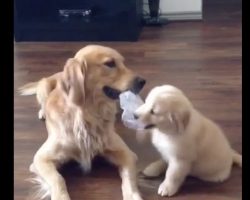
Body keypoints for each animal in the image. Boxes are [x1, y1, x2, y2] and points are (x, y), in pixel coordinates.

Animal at [18, 45, 146, 200]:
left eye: (123, 62)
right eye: (110, 63)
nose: (143, 81)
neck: (87, 115)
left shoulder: (127, 154)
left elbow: (129, 177)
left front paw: (133, 195)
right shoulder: (40, 159)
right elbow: (58, 179)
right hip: (44, 86)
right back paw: (43, 112)